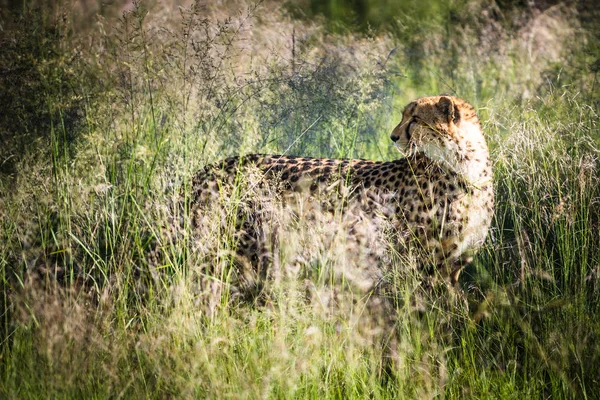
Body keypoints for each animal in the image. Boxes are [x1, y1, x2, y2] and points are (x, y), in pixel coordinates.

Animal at [191, 95, 492, 284]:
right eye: (404, 116)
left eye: (415, 119)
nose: (393, 136)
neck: (464, 164)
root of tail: (211, 166)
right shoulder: (426, 262)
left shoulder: (453, 263)